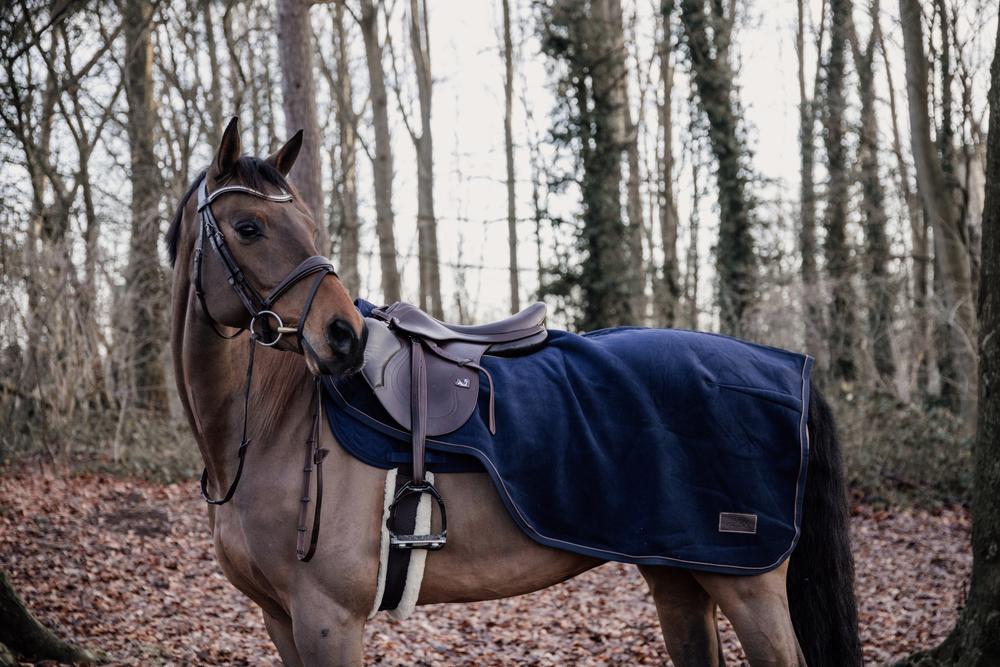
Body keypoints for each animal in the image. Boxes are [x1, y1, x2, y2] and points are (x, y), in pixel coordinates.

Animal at [166, 117, 860, 664]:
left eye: (308, 223)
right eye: (249, 227)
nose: (345, 337)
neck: (271, 426)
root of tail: (790, 369)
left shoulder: (327, 620)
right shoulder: (281, 620)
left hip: (749, 586)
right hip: (681, 578)